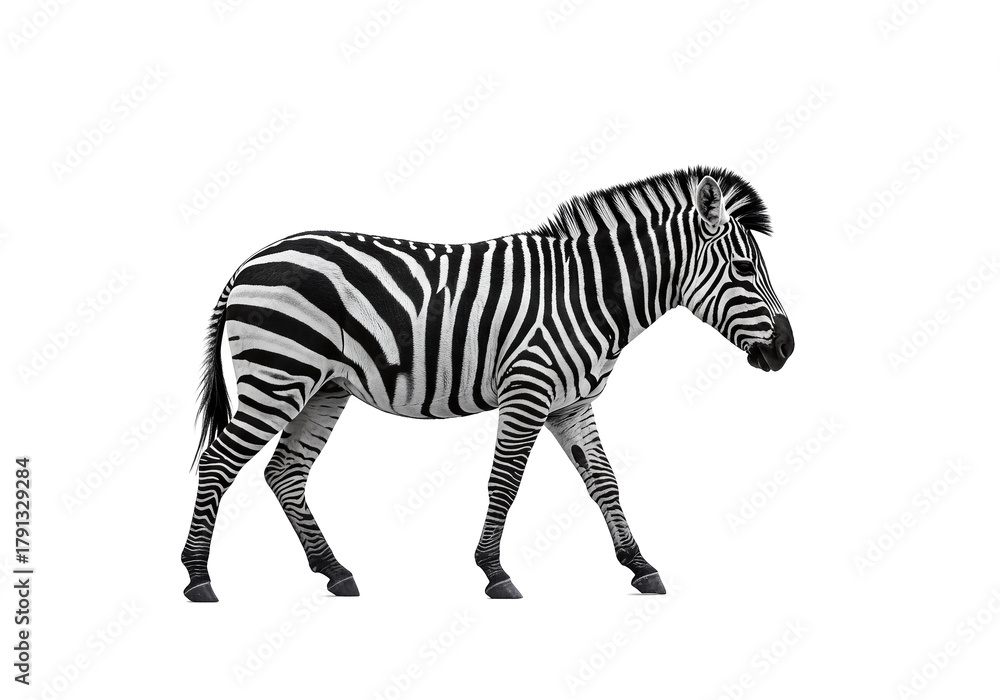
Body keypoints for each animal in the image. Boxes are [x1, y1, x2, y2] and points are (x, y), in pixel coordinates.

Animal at [181, 166, 794, 601]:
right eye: (744, 270)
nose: (788, 349)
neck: (590, 293)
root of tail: (252, 259)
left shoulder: (572, 404)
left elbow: (605, 483)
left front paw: (640, 566)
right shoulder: (529, 390)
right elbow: (505, 483)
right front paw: (495, 572)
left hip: (322, 386)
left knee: (285, 472)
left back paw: (335, 571)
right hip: (278, 374)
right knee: (218, 462)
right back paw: (198, 578)